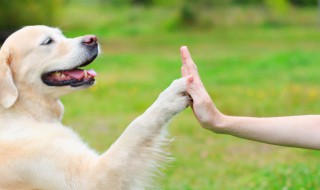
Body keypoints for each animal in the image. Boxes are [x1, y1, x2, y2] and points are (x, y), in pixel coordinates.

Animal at [0, 25, 190, 190]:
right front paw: (172, 95)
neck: (24, 111)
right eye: (48, 41)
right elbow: (137, 126)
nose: (93, 39)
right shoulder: (90, 178)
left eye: (61, 35)